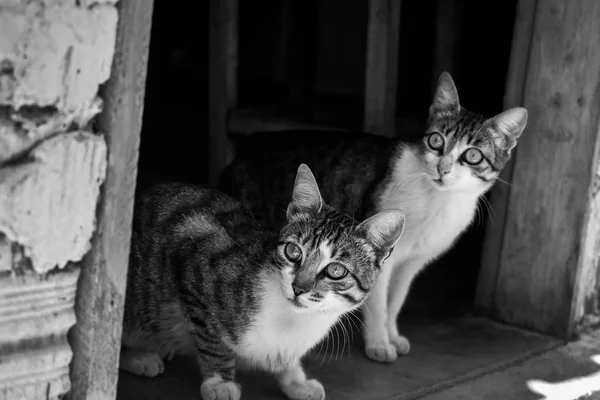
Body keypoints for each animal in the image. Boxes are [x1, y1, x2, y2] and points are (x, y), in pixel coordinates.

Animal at [119, 163, 406, 400]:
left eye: (336, 270)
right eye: (293, 252)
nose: (299, 287)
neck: (293, 319)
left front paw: (295, 380)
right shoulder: (194, 251)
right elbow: (212, 338)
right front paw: (219, 382)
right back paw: (140, 356)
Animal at [218, 71, 528, 362]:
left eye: (473, 156)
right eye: (436, 141)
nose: (443, 168)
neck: (438, 200)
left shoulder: (412, 263)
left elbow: (396, 300)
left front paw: (393, 335)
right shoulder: (385, 258)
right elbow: (378, 303)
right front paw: (379, 343)